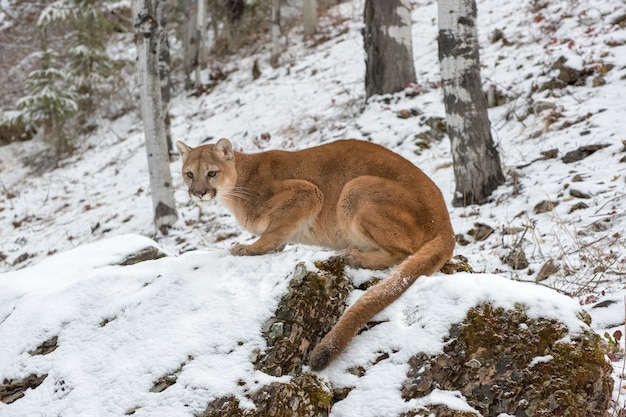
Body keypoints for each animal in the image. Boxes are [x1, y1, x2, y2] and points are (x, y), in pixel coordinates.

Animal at [176, 138, 454, 368]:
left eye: (212, 173)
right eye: (189, 174)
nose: (198, 193)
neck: (240, 182)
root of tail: (446, 223)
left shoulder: (306, 193)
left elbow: (272, 233)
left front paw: (248, 248)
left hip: (356, 187)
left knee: (404, 253)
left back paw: (354, 256)